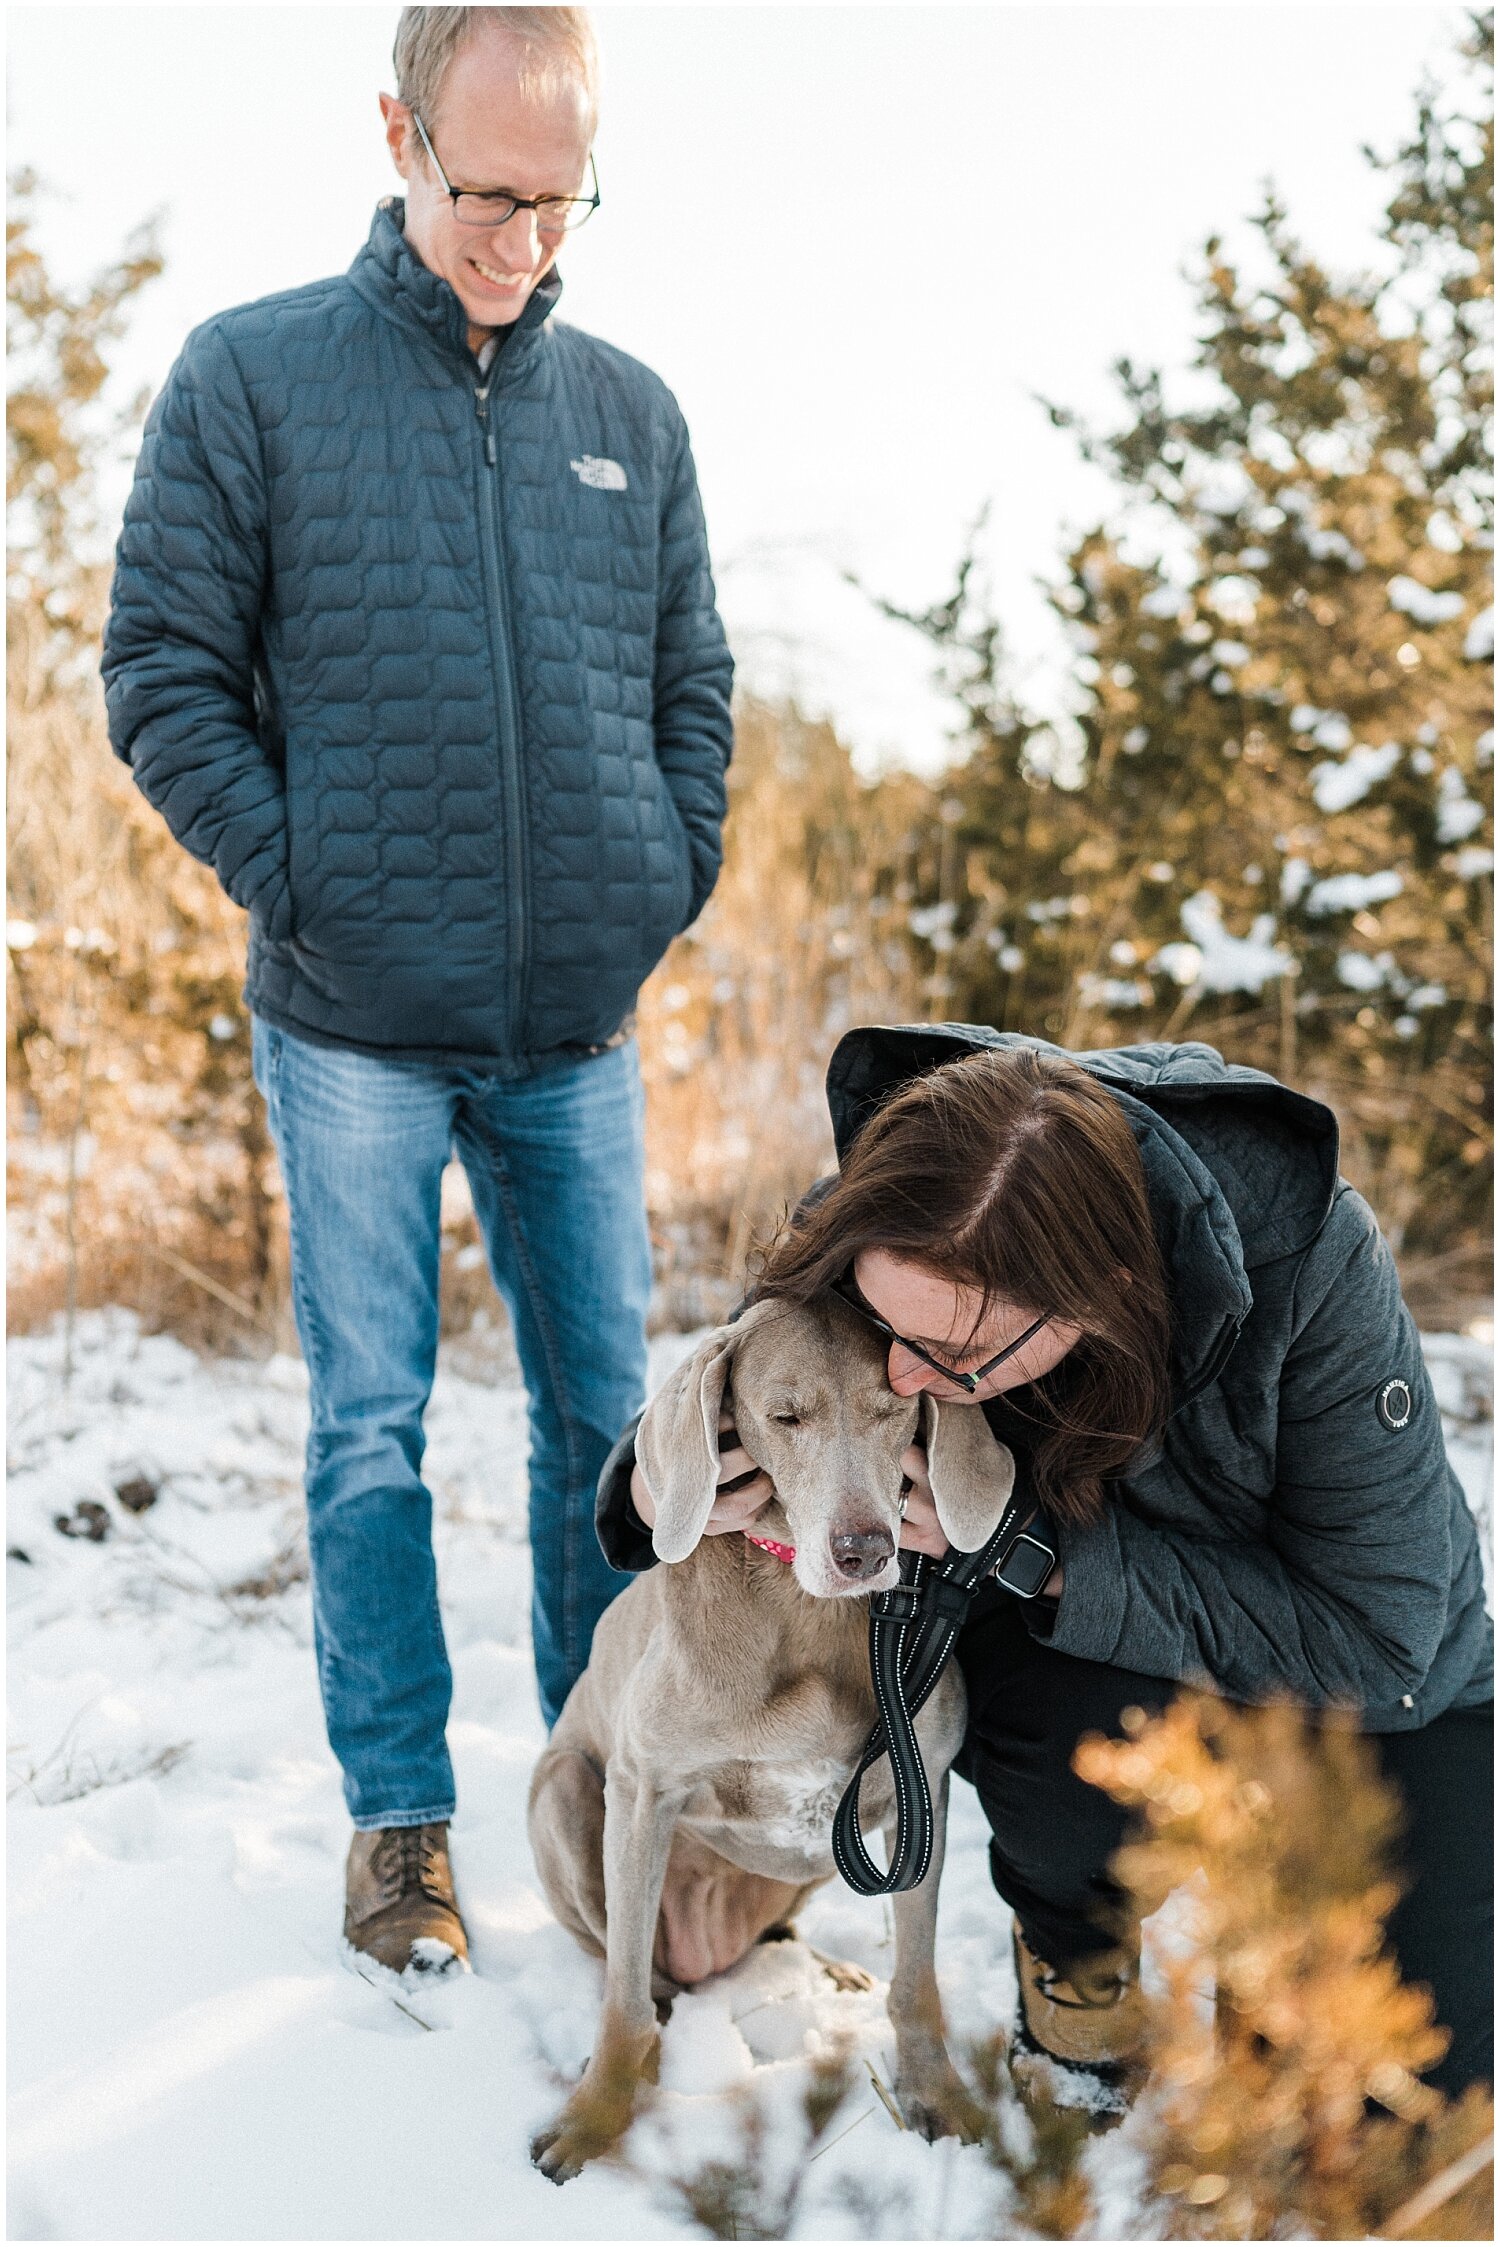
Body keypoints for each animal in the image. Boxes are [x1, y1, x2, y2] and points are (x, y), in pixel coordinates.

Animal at [529, 1294, 1019, 2184]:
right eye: (784, 1416)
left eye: (891, 1408)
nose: (865, 1551)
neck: (802, 1607)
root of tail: (708, 1958)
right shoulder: (642, 1790)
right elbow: (621, 2000)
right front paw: (593, 2120)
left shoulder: (921, 1792)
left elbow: (917, 1981)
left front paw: (939, 2096)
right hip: (566, 1791)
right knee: (632, 1965)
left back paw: (828, 1966)